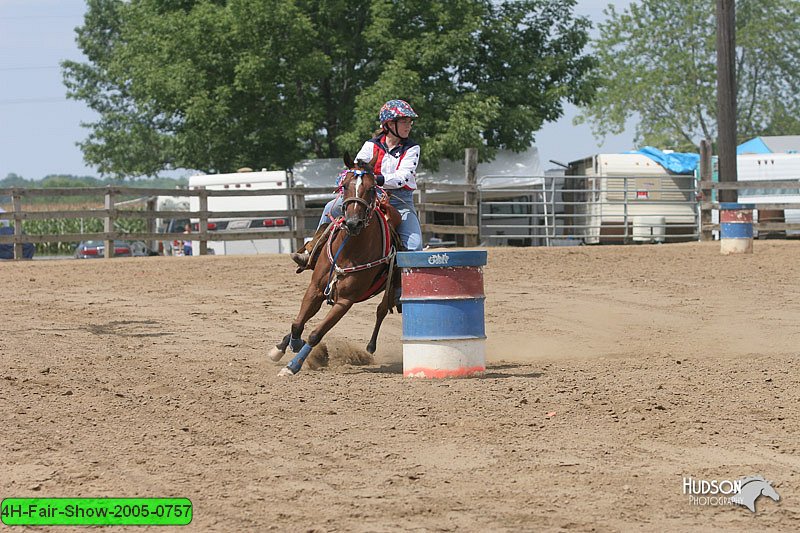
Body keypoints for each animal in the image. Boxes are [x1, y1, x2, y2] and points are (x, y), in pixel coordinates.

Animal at [268, 152, 404, 376]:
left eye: (371, 188)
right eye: (345, 185)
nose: (353, 223)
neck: (349, 250)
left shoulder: (345, 301)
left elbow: (316, 333)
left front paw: (293, 365)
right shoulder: (315, 288)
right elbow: (297, 324)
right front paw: (290, 345)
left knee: (382, 310)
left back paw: (370, 346)